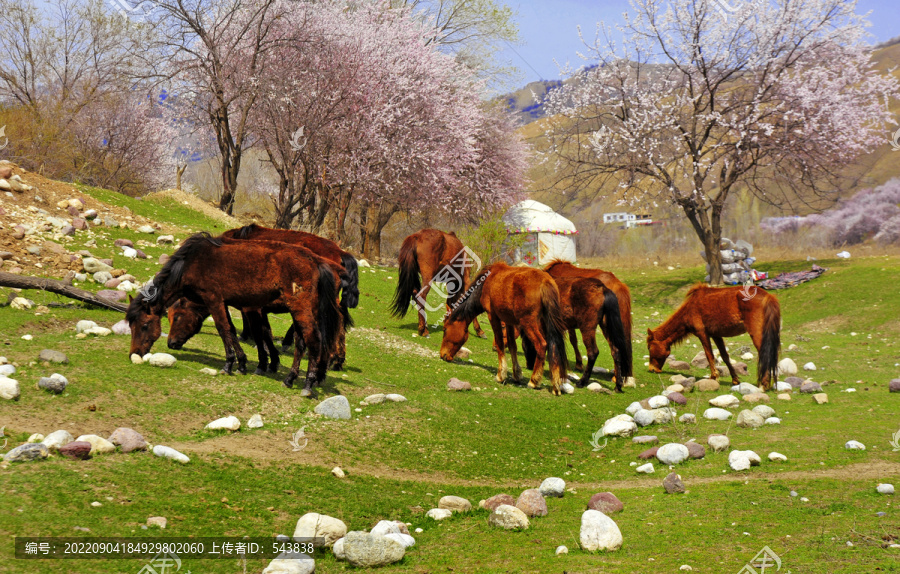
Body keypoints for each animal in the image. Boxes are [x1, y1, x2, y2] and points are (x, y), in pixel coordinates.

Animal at [123, 232, 342, 398]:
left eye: (144, 325)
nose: (134, 353)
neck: (191, 263)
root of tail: (316, 262)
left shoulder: (214, 300)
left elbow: (224, 329)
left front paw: (229, 364)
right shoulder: (226, 302)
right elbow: (233, 330)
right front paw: (242, 364)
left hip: (300, 310)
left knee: (314, 341)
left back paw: (308, 384)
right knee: (301, 343)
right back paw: (290, 379)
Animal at [440, 264, 568, 396]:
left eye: (445, 329)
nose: (442, 354)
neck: (486, 283)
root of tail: (545, 281)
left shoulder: (493, 316)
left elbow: (500, 343)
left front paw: (500, 375)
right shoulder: (509, 321)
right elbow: (512, 346)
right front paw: (517, 374)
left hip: (529, 324)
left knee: (541, 345)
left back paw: (534, 381)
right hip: (547, 323)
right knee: (554, 348)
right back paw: (556, 386)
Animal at [648, 284, 780, 392]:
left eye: (649, 348)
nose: (652, 369)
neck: (691, 307)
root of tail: (768, 296)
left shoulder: (702, 334)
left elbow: (709, 355)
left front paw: (714, 377)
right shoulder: (716, 335)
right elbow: (725, 356)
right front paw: (735, 379)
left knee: (765, 355)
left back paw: (763, 385)